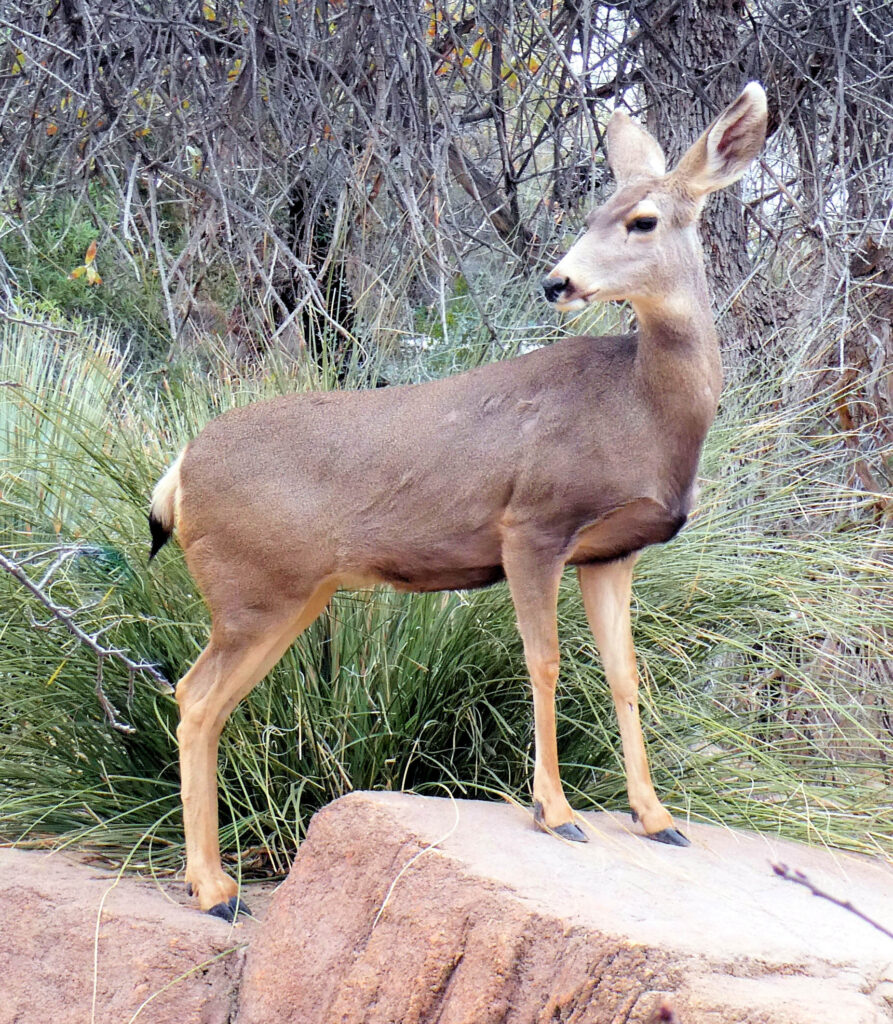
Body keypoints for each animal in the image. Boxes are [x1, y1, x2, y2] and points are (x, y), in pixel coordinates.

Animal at [148, 83, 766, 925]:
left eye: (639, 220)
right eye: (592, 211)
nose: (555, 282)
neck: (640, 410)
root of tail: (177, 472)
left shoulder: (612, 551)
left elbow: (623, 673)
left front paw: (656, 817)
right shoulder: (531, 524)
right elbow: (545, 660)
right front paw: (556, 812)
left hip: (292, 594)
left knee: (195, 695)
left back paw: (211, 885)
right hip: (253, 589)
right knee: (197, 698)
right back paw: (215, 891)